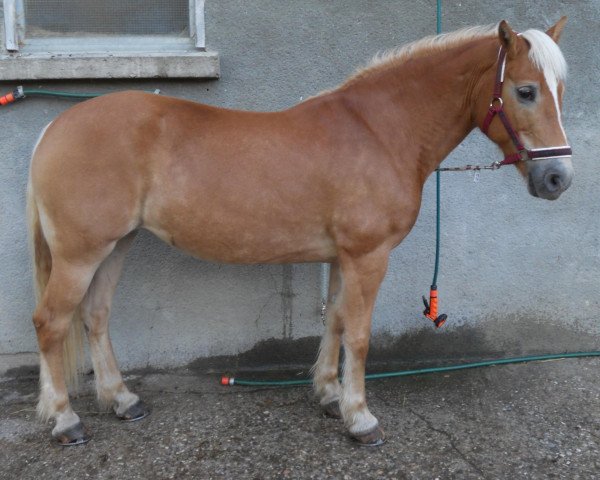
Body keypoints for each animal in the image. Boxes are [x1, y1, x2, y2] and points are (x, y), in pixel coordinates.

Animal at [27, 18, 572, 446]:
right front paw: (361, 419)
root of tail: (54, 128)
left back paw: (122, 400)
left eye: (560, 92)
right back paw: (66, 421)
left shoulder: (341, 258)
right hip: (80, 254)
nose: (558, 179)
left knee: (95, 317)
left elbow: (336, 322)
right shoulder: (368, 256)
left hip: (116, 245)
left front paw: (330, 396)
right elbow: (360, 335)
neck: (379, 130)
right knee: (51, 323)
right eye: (526, 91)